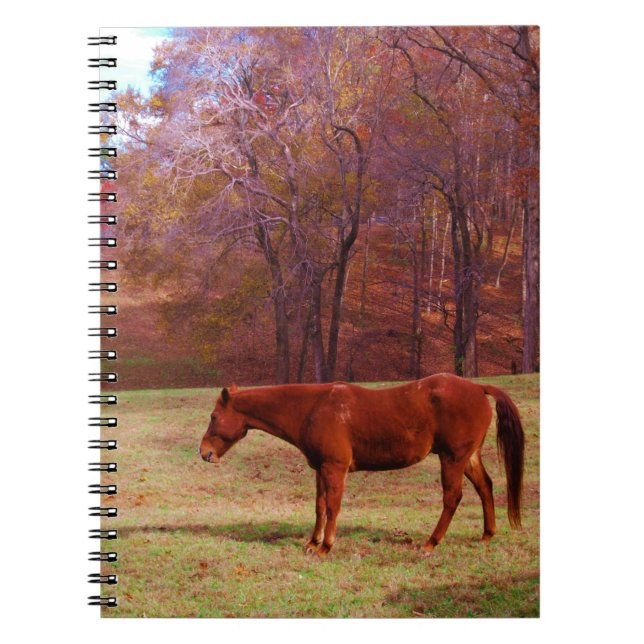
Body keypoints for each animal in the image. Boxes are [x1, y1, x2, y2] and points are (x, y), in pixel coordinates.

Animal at [199, 373, 525, 556]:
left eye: (214, 417)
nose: (204, 452)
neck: (312, 408)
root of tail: (478, 388)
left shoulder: (335, 468)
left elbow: (333, 507)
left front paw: (326, 546)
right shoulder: (320, 469)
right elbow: (319, 507)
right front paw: (312, 543)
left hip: (452, 458)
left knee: (452, 498)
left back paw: (431, 543)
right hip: (468, 457)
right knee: (485, 487)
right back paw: (487, 534)